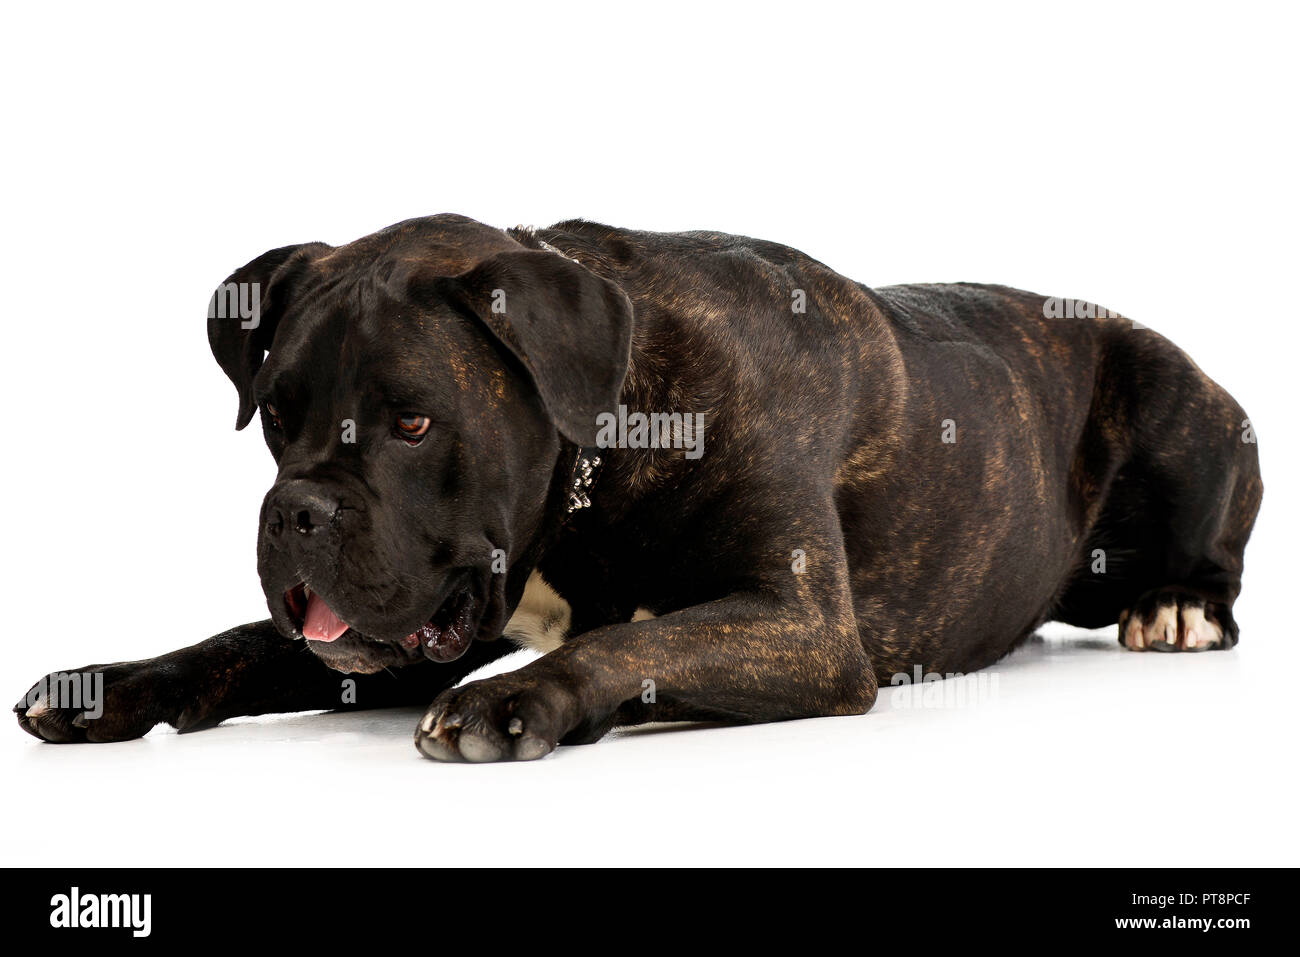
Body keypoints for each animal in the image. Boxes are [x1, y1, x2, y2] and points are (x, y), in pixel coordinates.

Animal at [15, 214, 1263, 764]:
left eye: (414, 421)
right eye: (277, 417)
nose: (297, 511)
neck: (602, 437)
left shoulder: (799, 626)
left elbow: (638, 640)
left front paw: (514, 702)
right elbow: (235, 645)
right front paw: (109, 682)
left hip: (1182, 404)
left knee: (1215, 554)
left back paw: (1176, 606)